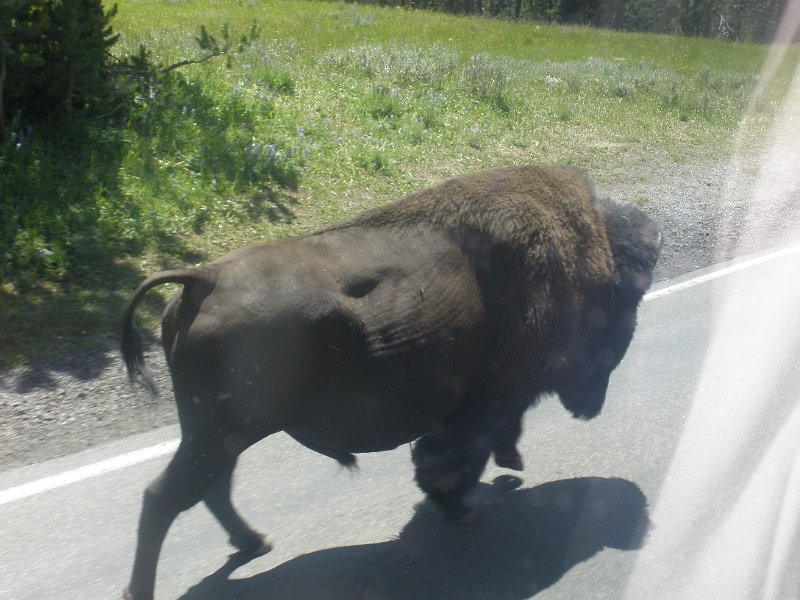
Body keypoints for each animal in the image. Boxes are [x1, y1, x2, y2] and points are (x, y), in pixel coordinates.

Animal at [121, 165, 661, 600]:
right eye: (622, 308)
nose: (591, 406)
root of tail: (203, 280)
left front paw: (503, 471)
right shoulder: (483, 405)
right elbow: (454, 455)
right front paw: (460, 507)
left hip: (222, 436)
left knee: (210, 490)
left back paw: (254, 542)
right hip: (215, 435)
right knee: (163, 497)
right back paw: (144, 588)